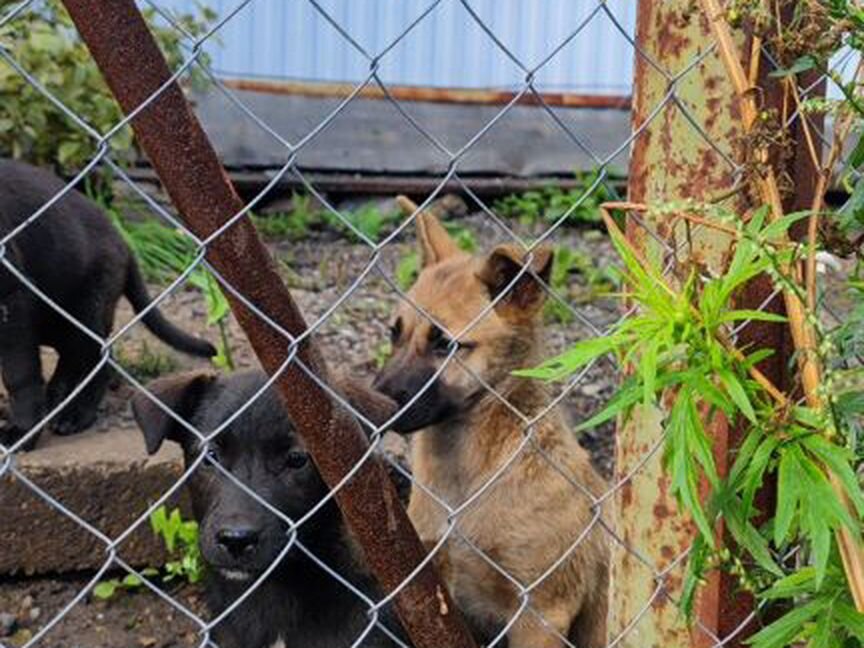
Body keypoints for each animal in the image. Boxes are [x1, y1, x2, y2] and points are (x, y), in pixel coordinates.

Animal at [0, 159, 215, 448]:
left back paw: (74, 416)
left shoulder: (11, 302)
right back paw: (58, 399)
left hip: (84, 311)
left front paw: (21, 433)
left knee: (98, 359)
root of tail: (123, 243)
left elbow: (19, 375)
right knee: (77, 358)